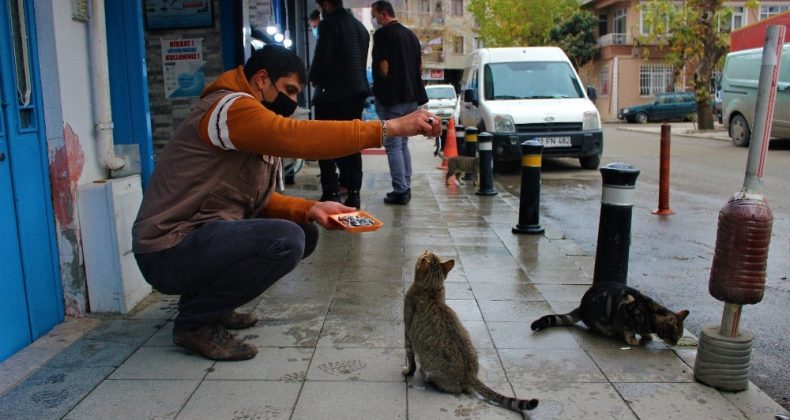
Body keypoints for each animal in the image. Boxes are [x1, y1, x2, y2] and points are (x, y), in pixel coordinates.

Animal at [406, 251, 540, 412]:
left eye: (426, 254)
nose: (426, 250)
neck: (431, 291)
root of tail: (470, 375)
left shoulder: (407, 331)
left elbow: (410, 357)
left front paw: (407, 372)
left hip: (431, 368)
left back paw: (424, 374)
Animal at [536, 280, 688, 346]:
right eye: (675, 336)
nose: (675, 344)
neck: (651, 313)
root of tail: (581, 306)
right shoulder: (624, 310)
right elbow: (627, 329)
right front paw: (632, 339)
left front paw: (646, 335)